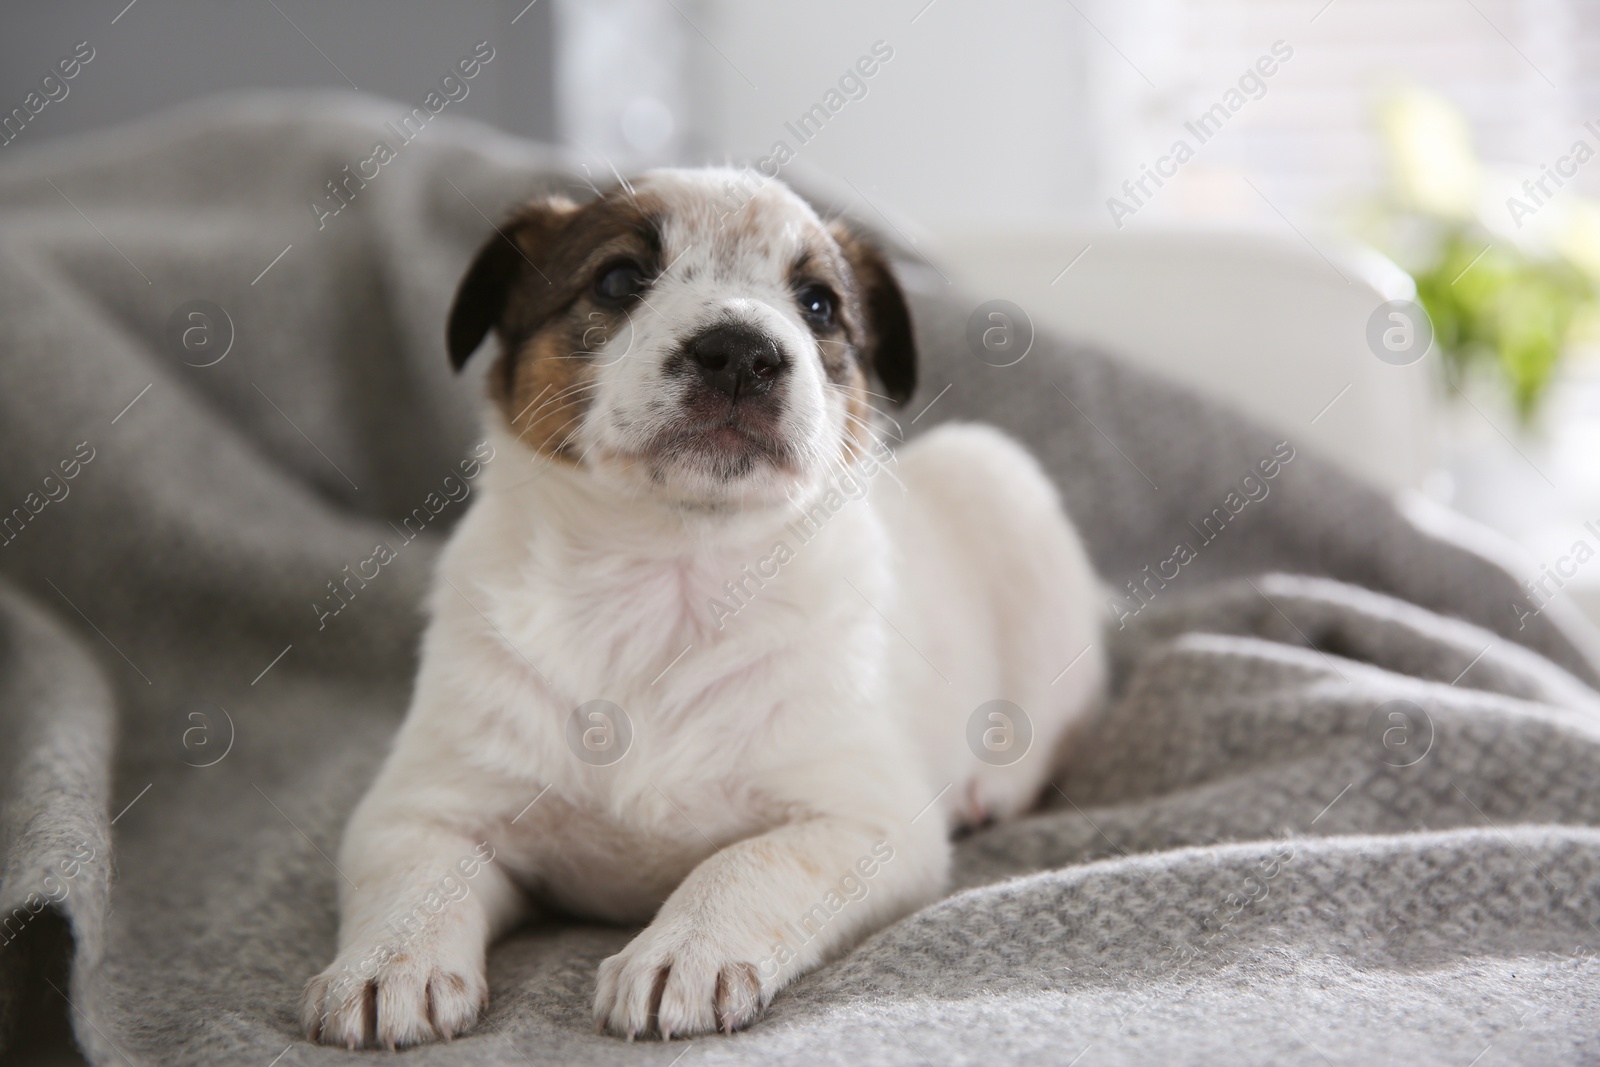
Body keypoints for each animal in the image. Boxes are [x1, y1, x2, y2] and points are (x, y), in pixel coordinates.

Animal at [297, 168, 1100, 1049]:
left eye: (818, 304)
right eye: (619, 279)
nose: (743, 352)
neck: (666, 574)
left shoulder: (864, 819)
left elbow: (744, 862)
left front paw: (684, 951)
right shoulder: (423, 807)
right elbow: (414, 878)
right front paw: (389, 966)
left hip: (1005, 489)